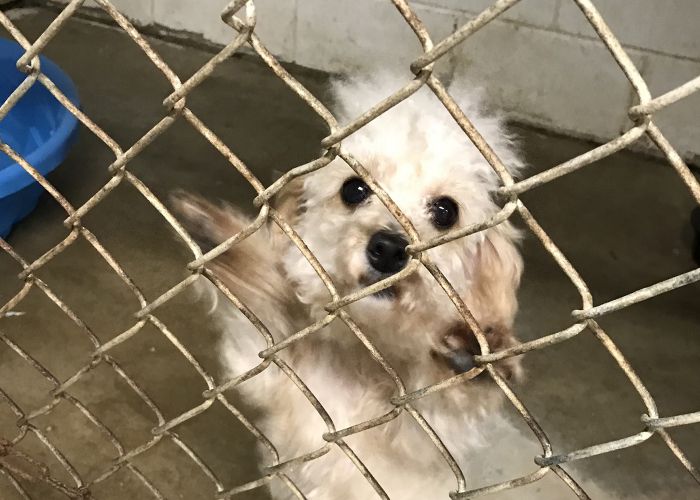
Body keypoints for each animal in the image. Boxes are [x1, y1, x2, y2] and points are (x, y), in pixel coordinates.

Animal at [174, 75, 524, 500]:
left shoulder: (423, 439)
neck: (362, 358)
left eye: (446, 211)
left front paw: (475, 355)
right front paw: (223, 239)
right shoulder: (274, 379)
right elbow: (267, 308)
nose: (389, 249)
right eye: (354, 189)